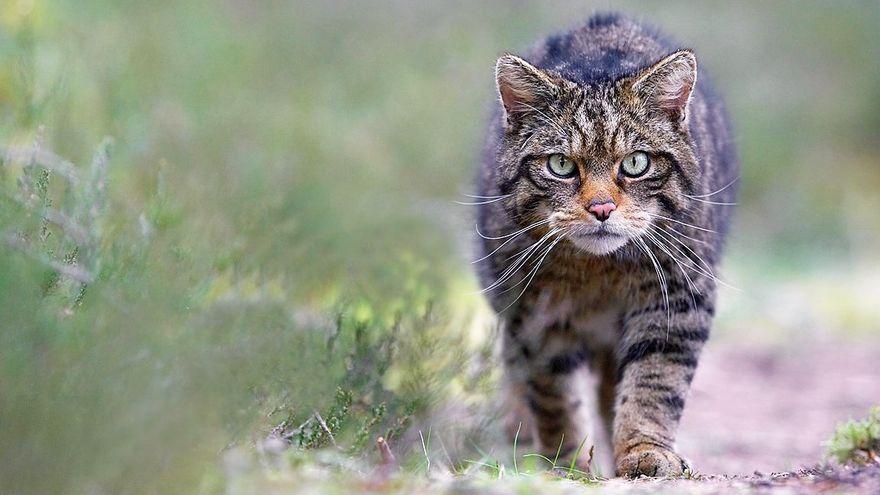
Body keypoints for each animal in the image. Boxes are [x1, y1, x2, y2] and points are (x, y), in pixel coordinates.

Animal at [474, 13, 736, 478]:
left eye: (636, 163)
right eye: (561, 165)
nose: (601, 208)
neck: (600, 271)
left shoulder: (676, 301)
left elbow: (653, 385)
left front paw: (643, 450)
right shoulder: (534, 315)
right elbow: (554, 397)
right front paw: (567, 464)